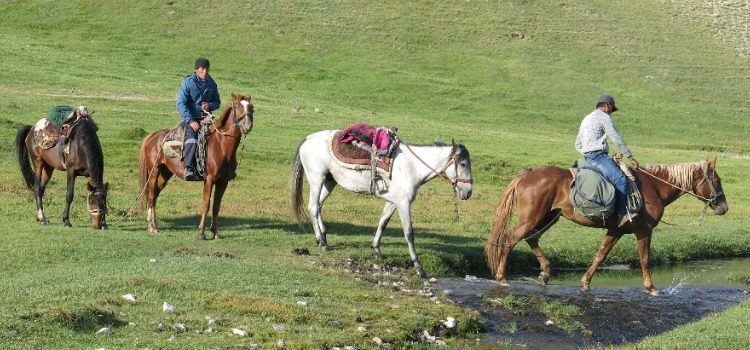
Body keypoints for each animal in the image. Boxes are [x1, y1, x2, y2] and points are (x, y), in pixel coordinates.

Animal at [140, 94, 256, 239]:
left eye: (251, 107)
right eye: (236, 106)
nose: (247, 125)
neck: (221, 146)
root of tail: (152, 136)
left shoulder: (223, 181)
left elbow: (216, 206)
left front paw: (215, 232)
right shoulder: (209, 179)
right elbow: (206, 204)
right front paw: (201, 233)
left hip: (165, 173)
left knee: (154, 194)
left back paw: (151, 225)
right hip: (154, 171)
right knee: (151, 196)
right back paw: (153, 226)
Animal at [290, 130, 472, 278]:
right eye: (463, 164)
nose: (468, 192)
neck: (411, 168)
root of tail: (308, 138)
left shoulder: (393, 201)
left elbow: (383, 222)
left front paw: (376, 249)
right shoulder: (404, 203)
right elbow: (409, 233)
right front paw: (419, 267)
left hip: (329, 181)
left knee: (319, 206)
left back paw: (323, 238)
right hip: (317, 179)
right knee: (313, 207)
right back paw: (322, 243)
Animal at [488, 160, 728, 294]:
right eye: (717, 181)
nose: (724, 207)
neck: (655, 187)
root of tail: (524, 176)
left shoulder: (616, 231)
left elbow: (600, 255)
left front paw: (585, 282)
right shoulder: (644, 231)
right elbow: (645, 259)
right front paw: (651, 288)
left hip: (549, 217)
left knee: (531, 238)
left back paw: (546, 272)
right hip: (533, 217)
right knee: (510, 239)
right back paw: (502, 278)